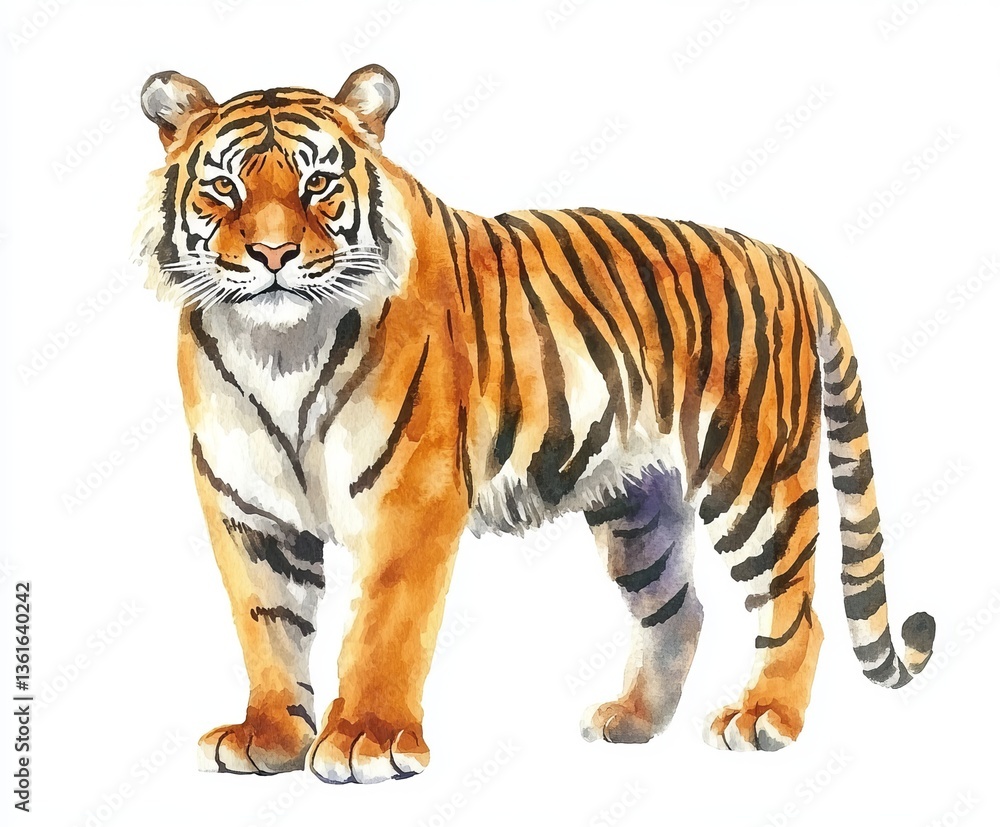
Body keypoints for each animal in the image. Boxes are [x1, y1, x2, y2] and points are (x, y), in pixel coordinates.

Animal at [135, 64, 935, 783]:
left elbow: (384, 627)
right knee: (678, 609)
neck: (280, 349)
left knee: (798, 609)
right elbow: (266, 625)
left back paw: (766, 717)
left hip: (755, 478)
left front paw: (368, 740)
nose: (272, 254)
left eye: (319, 185)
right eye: (224, 187)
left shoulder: (410, 497)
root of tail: (792, 262)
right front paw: (268, 737)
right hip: (638, 504)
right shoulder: (245, 506)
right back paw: (631, 721)